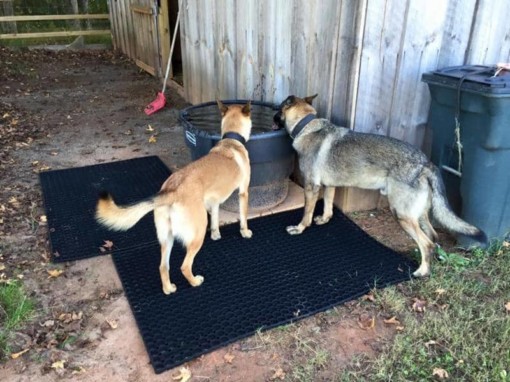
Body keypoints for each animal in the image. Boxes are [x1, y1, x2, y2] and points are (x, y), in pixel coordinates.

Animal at [95, 100, 253, 294]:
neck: (231, 140)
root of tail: (172, 191)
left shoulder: (214, 202)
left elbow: (216, 219)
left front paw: (216, 234)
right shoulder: (243, 192)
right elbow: (243, 217)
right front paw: (245, 232)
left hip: (166, 237)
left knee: (163, 266)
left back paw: (168, 288)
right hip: (197, 233)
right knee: (184, 266)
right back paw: (195, 281)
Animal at [272, 94, 488, 276]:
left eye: (278, 110)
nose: (273, 118)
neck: (307, 125)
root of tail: (426, 163)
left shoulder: (311, 187)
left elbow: (306, 213)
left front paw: (300, 228)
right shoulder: (330, 186)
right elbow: (328, 207)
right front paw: (324, 220)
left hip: (401, 214)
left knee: (427, 244)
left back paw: (422, 272)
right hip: (419, 215)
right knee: (433, 238)